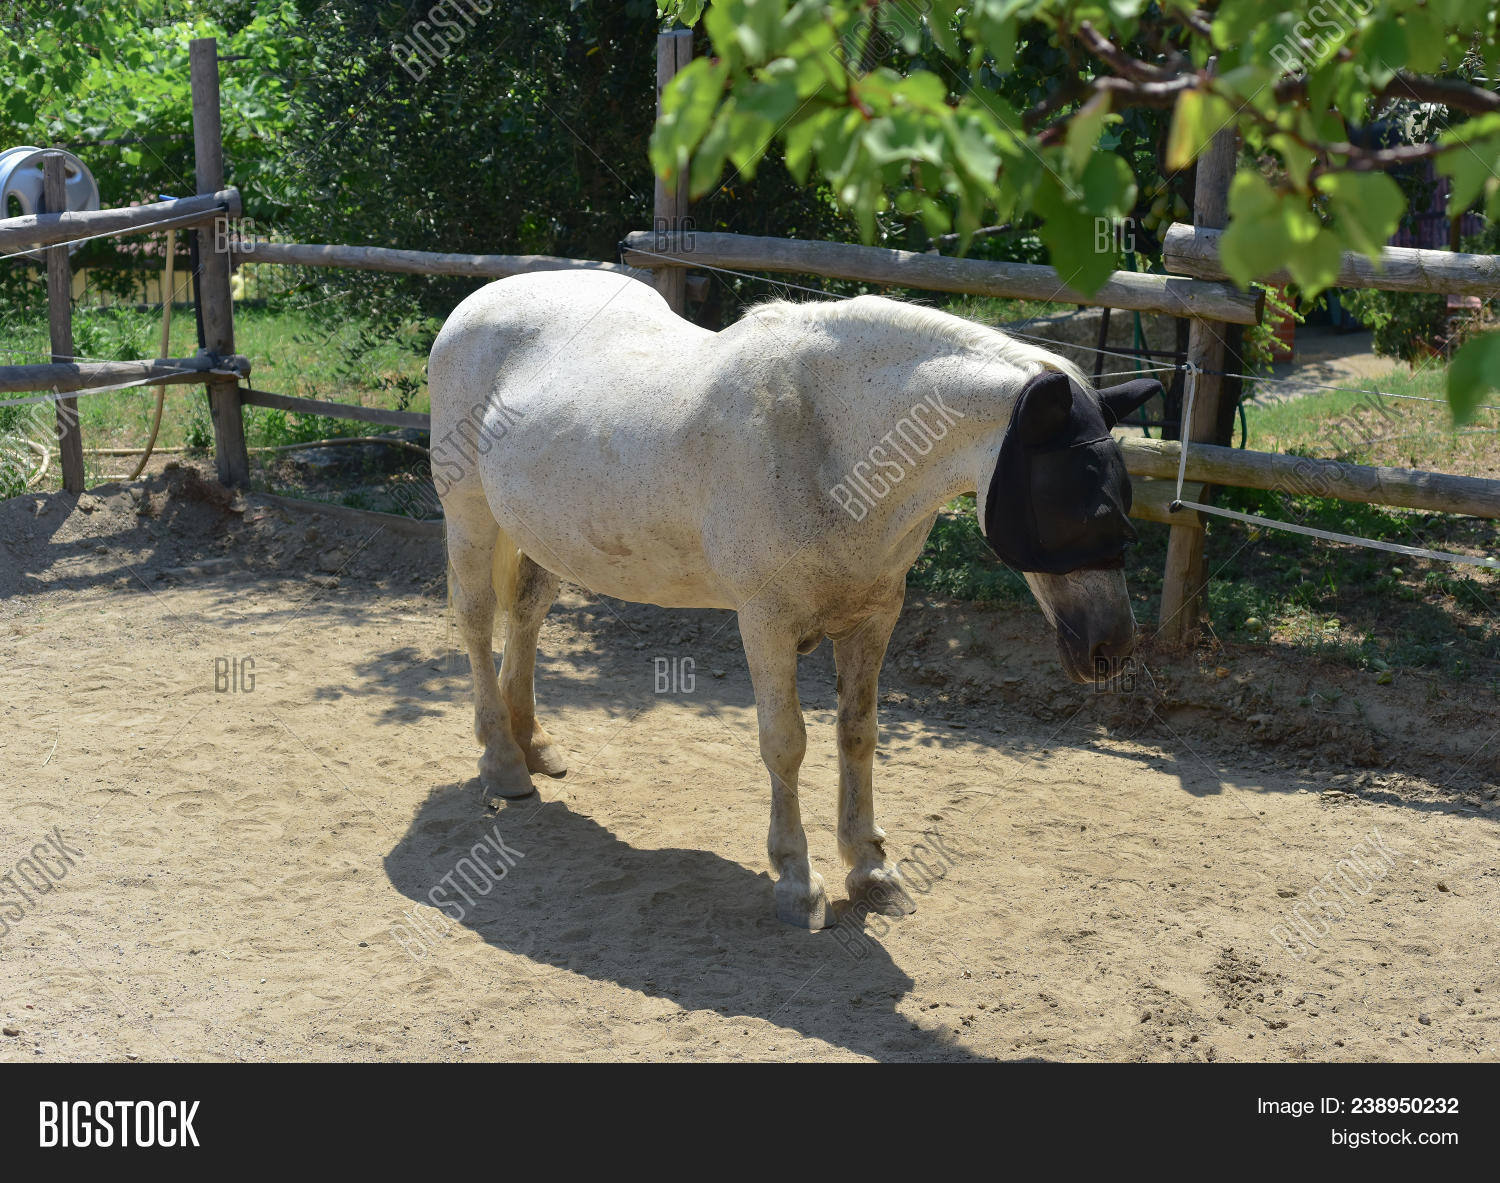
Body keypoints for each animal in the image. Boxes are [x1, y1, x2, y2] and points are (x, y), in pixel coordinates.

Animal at [427, 269, 1159, 930]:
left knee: (526, 616)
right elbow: (786, 743)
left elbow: (858, 734)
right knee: (477, 622)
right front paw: (797, 881)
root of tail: (479, 300)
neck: (832, 443)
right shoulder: (767, 624)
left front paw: (871, 870)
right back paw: (502, 762)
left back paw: (532, 742)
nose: (1111, 649)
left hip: (540, 534)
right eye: (1076, 506)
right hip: (469, 517)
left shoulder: (873, 617)